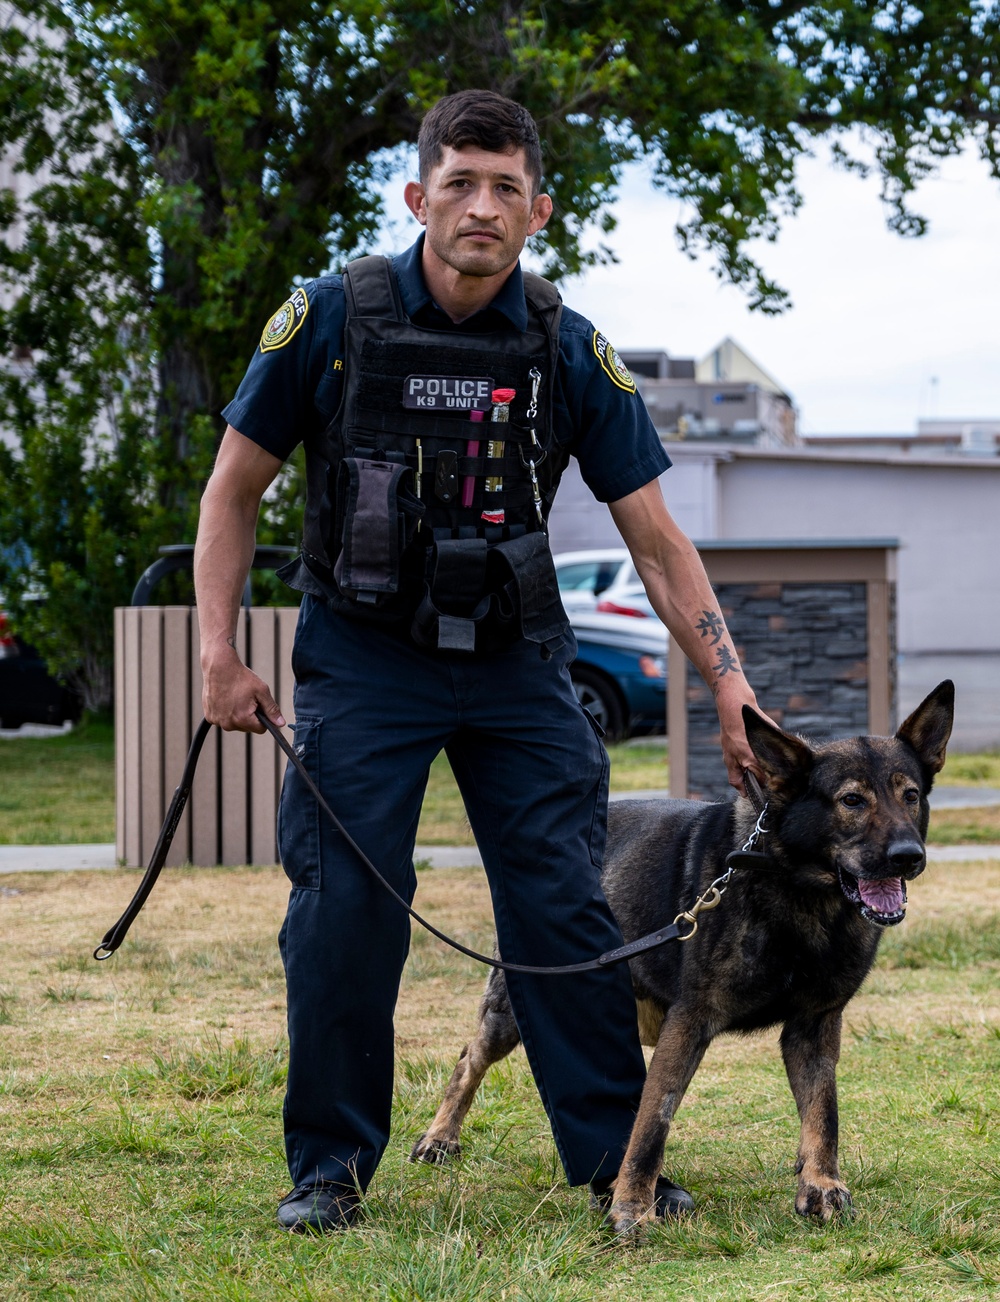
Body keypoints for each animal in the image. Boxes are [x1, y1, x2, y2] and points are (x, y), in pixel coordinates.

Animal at [411, 682, 958, 1229]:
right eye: (851, 800)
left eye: (910, 796)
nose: (908, 857)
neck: (796, 891)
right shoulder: (690, 1021)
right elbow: (653, 1121)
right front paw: (633, 1206)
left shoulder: (815, 1027)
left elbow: (823, 1112)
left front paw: (819, 1182)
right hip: (513, 1010)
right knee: (468, 1058)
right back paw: (440, 1138)